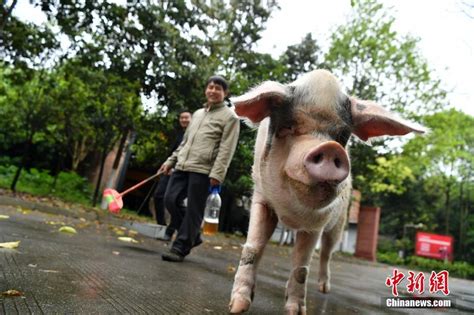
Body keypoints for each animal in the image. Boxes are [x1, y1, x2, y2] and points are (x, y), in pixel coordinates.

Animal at [228, 69, 424, 315]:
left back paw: (324, 290)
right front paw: (237, 307)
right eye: (288, 126)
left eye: (342, 137)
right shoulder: (261, 198)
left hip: (338, 224)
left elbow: (302, 266)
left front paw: (296, 311)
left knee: (326, 253)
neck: (291, 213)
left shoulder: (317, 223)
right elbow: (253, 248)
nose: (330, 149)